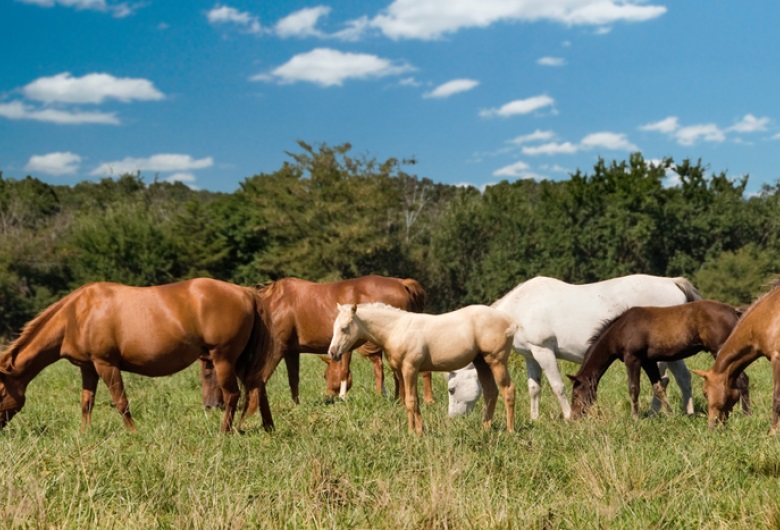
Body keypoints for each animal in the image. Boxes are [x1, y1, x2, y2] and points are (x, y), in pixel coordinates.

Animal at [0, 278, 272, 432]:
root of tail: (246, 292)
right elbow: (86, 403)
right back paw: (268, 428)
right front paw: (84, 435)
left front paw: (133, 434)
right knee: (258, 387)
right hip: (240, 360)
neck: (76, 314)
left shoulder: (106, 365)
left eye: (1, 392)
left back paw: (223, 432)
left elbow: (121, 402)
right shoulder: (88, 367)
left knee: (233, 394)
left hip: (224, 358)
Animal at [326, 302, 516, 434]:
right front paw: (418, 430)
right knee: (491, 393)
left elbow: (410, 400)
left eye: (344, 328)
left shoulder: (410, 368)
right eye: (334, 327)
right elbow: (411, 400)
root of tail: (508, 320)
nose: (333, 352)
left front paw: (413, 433)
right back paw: (485, 428)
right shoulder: (402, 371)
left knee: (508, 390)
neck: (397, 328)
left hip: (497, 361)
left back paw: (510, 430)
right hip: (481, 362)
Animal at [444, 274, 700, 418]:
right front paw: (534, 419)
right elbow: (534, 388)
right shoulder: (530, 356)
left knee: (664, 379)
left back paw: (656, 413)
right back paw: (688, 412)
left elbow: (557, 386)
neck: (519, 309)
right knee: (683, 377)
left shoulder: (543, 351)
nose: (453, 419)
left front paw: (568, 416)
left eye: (451, 389)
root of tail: (672, 282)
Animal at [568, 296, 748, 416]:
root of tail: (733, 311)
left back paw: (745, 413)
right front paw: (670, 413)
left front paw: (635, 417)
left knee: (742, 378)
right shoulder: (648, 361)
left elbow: (634, 388)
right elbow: (659, 387)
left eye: (576, 393)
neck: (620, 330)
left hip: (719, 350)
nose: (575, 416)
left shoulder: (632, 358)